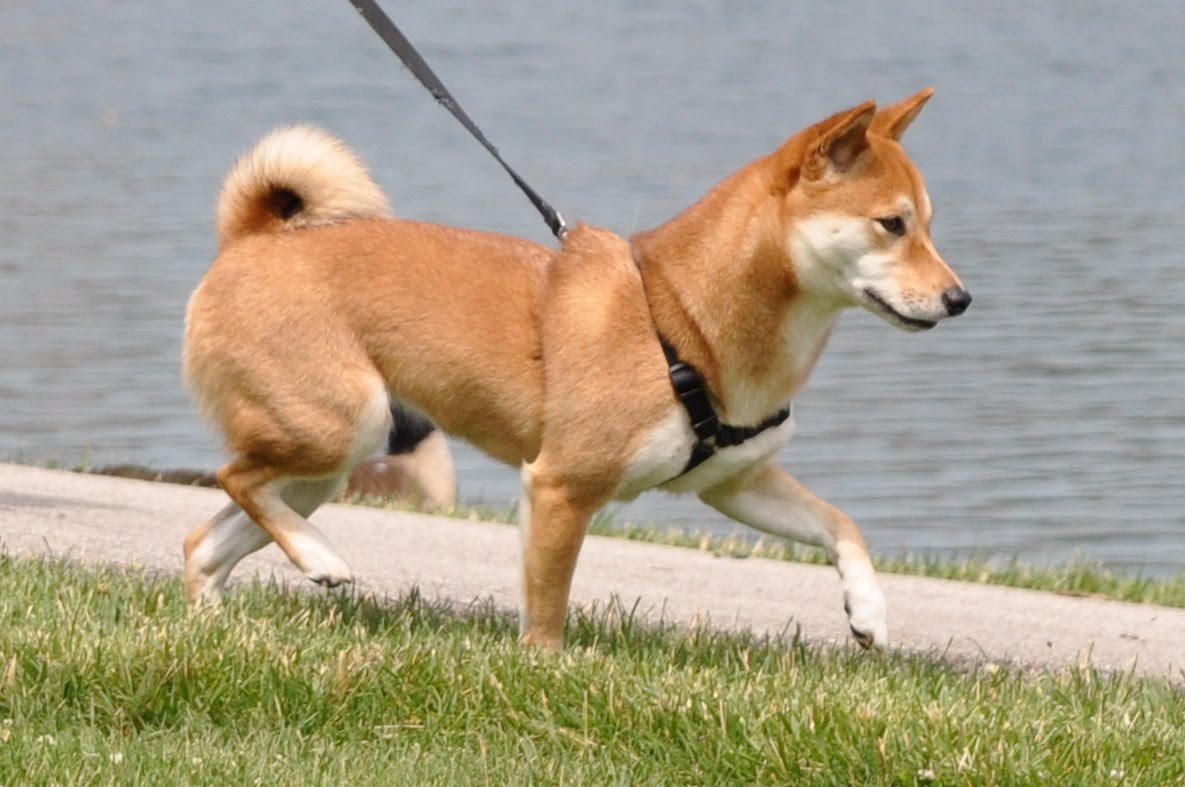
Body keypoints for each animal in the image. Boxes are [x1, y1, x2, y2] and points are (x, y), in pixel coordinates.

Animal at [182, 88, 962, 649]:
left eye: (927, 223)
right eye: (891, 224)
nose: (960, 298)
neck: (678, 319)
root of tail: (251, 240)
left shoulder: (735, 484)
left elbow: (843, 526)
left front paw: (868, 610)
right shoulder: (561, 488)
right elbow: (549, 606)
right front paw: (545, 669)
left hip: (324, 465)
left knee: (204, 540)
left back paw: (221, 625)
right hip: (342, 425)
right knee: (232, 476)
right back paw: (318, 558)